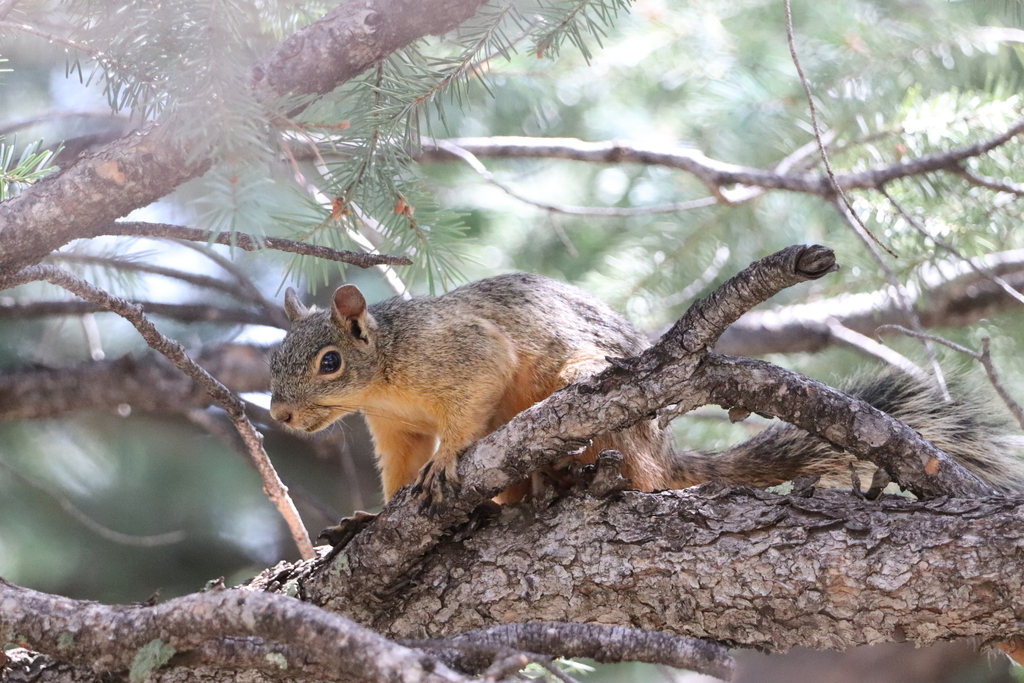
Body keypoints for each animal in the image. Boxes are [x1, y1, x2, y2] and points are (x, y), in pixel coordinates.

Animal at [266, 270, 1024, 501]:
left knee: (643, 475)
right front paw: (373, 517)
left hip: (606, 407)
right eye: (274, 363)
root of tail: (668, 449)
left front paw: (450, 459)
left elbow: (471, 404)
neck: (385, 375)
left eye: (328, 362)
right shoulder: (394, 429)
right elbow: (397, 471)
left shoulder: (461, 352)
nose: (279, 416)